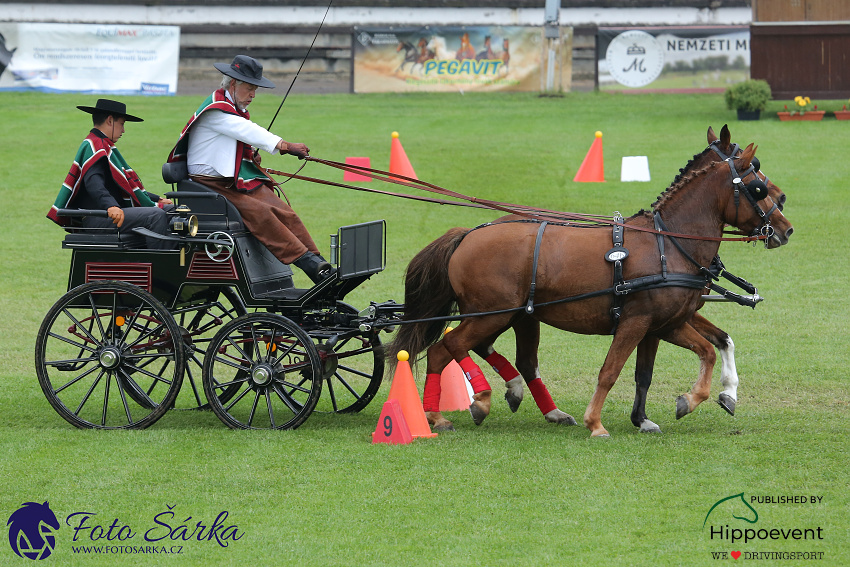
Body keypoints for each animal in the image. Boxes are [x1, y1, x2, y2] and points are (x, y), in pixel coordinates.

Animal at [388, 144, 792, 438]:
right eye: (758, 187)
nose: (785, 229)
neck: (669, 244)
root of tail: (467, 234)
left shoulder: (666, 323)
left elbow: (700, 352)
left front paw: (688, 402)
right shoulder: (637, 322)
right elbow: (610, 371)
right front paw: (596, 423)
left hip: (511, 315)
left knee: (485, 354)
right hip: (492, 314)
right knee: (448, 348)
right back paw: (462, 407)